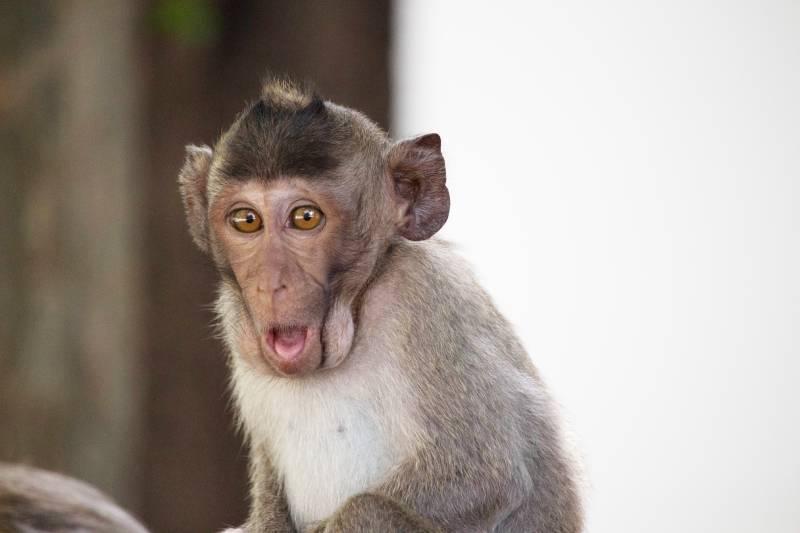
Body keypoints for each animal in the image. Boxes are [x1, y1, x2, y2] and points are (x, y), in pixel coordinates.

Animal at [179, 76, 584, 533]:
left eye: (305, 218)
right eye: (247, 221)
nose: (269, 284)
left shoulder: (420, 295)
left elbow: (484, 476)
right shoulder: (236, 322)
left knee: (366, 508)